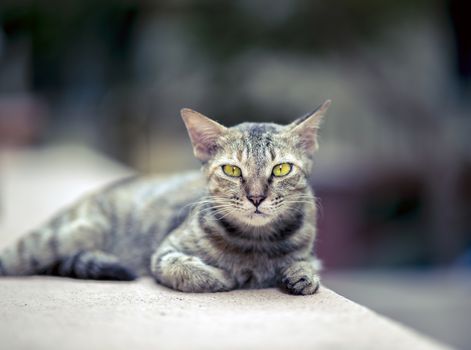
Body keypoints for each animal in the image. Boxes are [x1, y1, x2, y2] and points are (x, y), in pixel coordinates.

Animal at [0, 100, 332, 294]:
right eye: (232, 170)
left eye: (282, 168)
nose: (256, 197)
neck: (255, 242)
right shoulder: (164, 253)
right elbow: (187, 269)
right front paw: (228, 277)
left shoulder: (311, 252)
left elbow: (308, 263)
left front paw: (301, 274)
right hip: (71, 234)